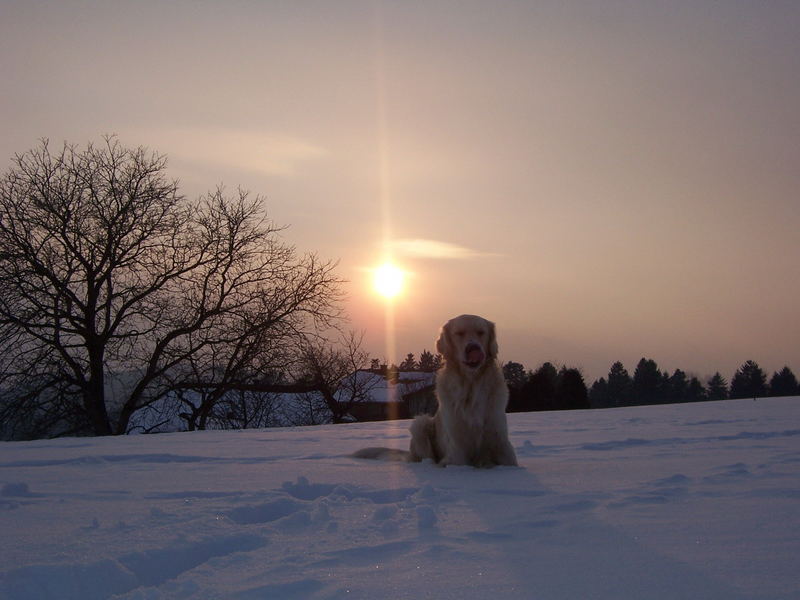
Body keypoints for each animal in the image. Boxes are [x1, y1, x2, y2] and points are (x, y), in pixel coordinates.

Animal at [352, 314, 516, 468]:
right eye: (459, 333)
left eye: (481, 332)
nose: (473, 348)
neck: (471, 384)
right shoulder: (457, 447)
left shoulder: (499, 438)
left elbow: (510, 461)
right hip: (421, 424)